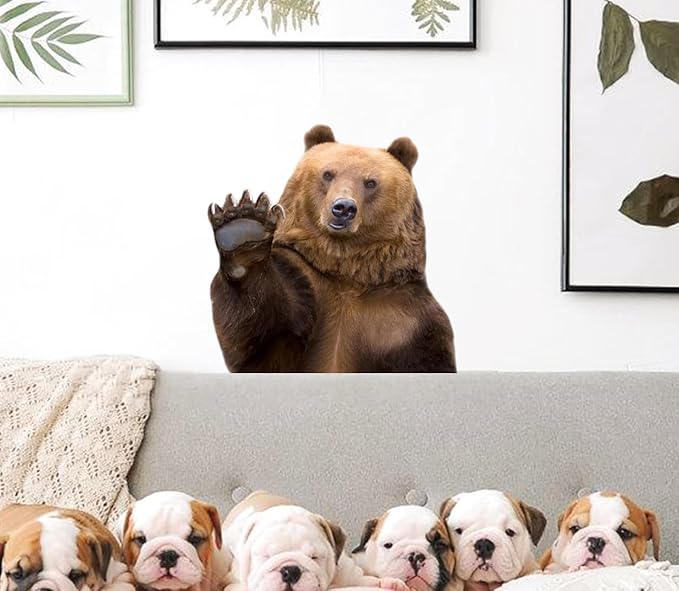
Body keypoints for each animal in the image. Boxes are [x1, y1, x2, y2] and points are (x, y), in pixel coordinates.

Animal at [207, 125, 456, 373]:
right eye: (328, 174)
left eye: (370, 182)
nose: (343, 208)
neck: (346, 271)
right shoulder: (304, 285)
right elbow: (260, 339)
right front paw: (242, 229)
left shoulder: (408, 321)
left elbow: (429, 359)